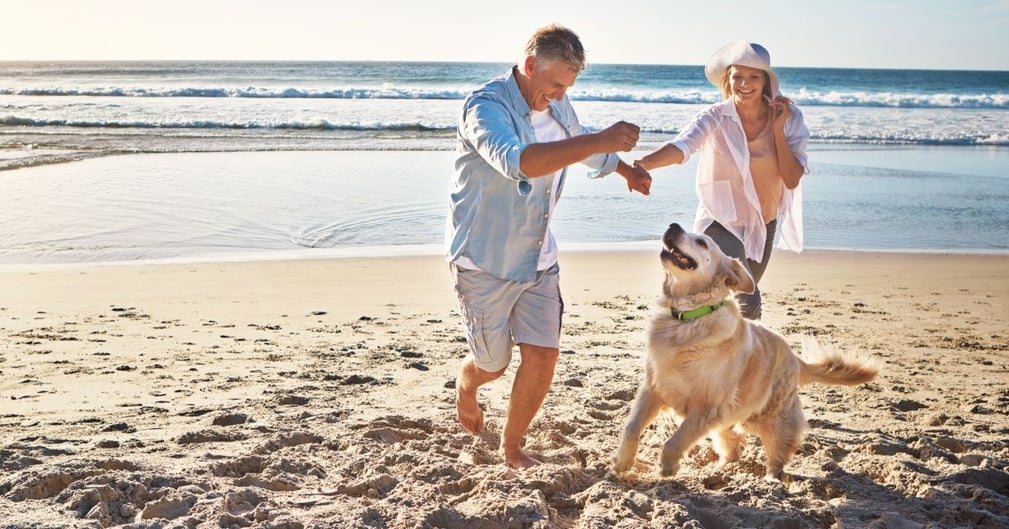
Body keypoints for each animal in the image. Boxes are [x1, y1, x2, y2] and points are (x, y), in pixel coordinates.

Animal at [609, 221, 879, 480]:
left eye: (702, 242)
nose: (673, 226)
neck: (687, 319)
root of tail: (794, 357)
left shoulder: (706, 408)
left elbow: (675, 441)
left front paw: (667, 467)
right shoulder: (654, 389)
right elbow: (631, 427)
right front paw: (622, 462)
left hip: (770, 417)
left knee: (779, 451)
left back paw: (771, 479)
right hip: (729, 419)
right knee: (733, 447)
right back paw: (719, 469)